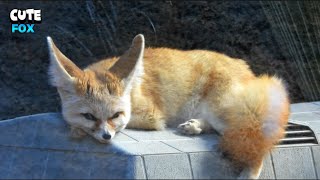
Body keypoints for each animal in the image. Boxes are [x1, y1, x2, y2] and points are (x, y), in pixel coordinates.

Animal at [47, 34, 290, 179]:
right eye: (89, 115)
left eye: (116, 115)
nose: (107, 137)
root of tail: (245, 68)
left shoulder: (152, 116)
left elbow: (131, 122)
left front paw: (76, 130)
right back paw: (194, 126)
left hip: (224, 112)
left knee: (256, 143)